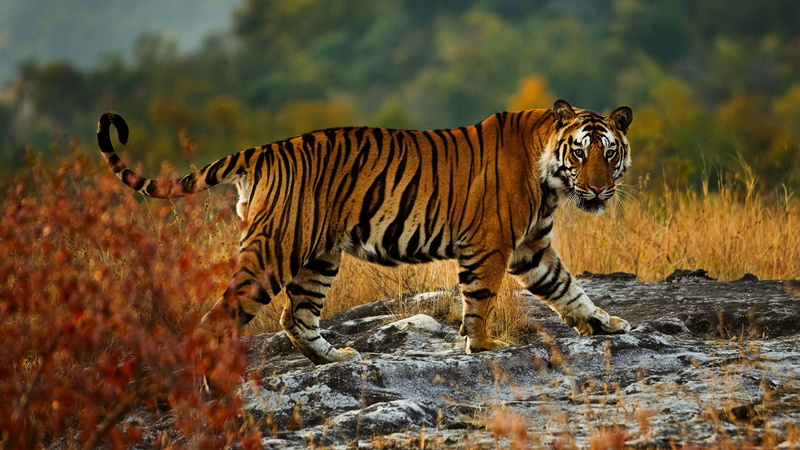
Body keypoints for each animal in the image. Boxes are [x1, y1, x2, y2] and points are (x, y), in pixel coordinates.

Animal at [97, 99, 633, 365]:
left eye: (609, 153)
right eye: (580, 152)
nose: (598, 189)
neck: (551, 180)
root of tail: (263, 150)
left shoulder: (531, 248)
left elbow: (568, 288)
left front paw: (605, 324)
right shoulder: (490, 245)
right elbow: (480, 300)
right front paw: (482, 347)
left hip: (318, 257)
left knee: (297, 317)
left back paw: (336, 358)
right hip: (274, 251)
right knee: (221, 318)